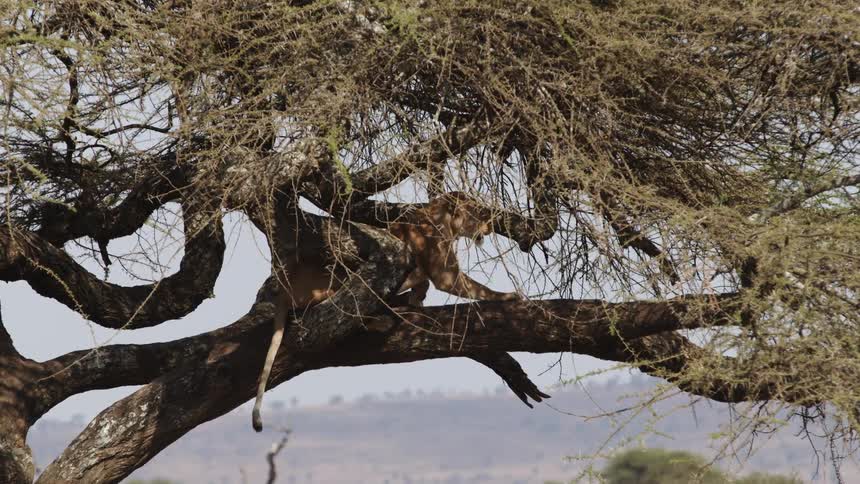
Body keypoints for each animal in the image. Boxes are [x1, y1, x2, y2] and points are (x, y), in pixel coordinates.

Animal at [252, 192, 522, 431]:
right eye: (477, 213)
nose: (489, 227)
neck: (442, 218)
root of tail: (285, 288)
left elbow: (423, 284)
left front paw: (416, 299)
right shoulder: (446, 276)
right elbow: (478, 288)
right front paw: (509, 296)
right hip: (342, 273)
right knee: (342, 312)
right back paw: (383, 318)